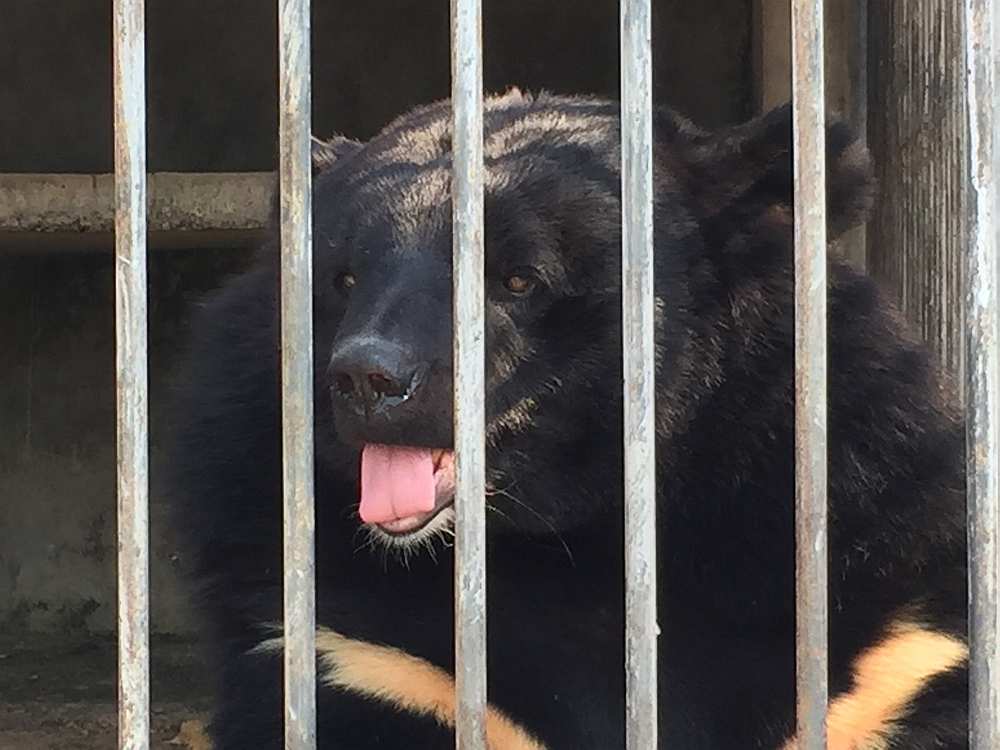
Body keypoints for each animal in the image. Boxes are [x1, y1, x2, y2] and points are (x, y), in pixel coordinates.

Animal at [164, 89, 968, 749]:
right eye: (344, 278)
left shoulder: (886, 637)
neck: (573, 530)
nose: (368, 379)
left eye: (519, 279)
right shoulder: (364, 654)